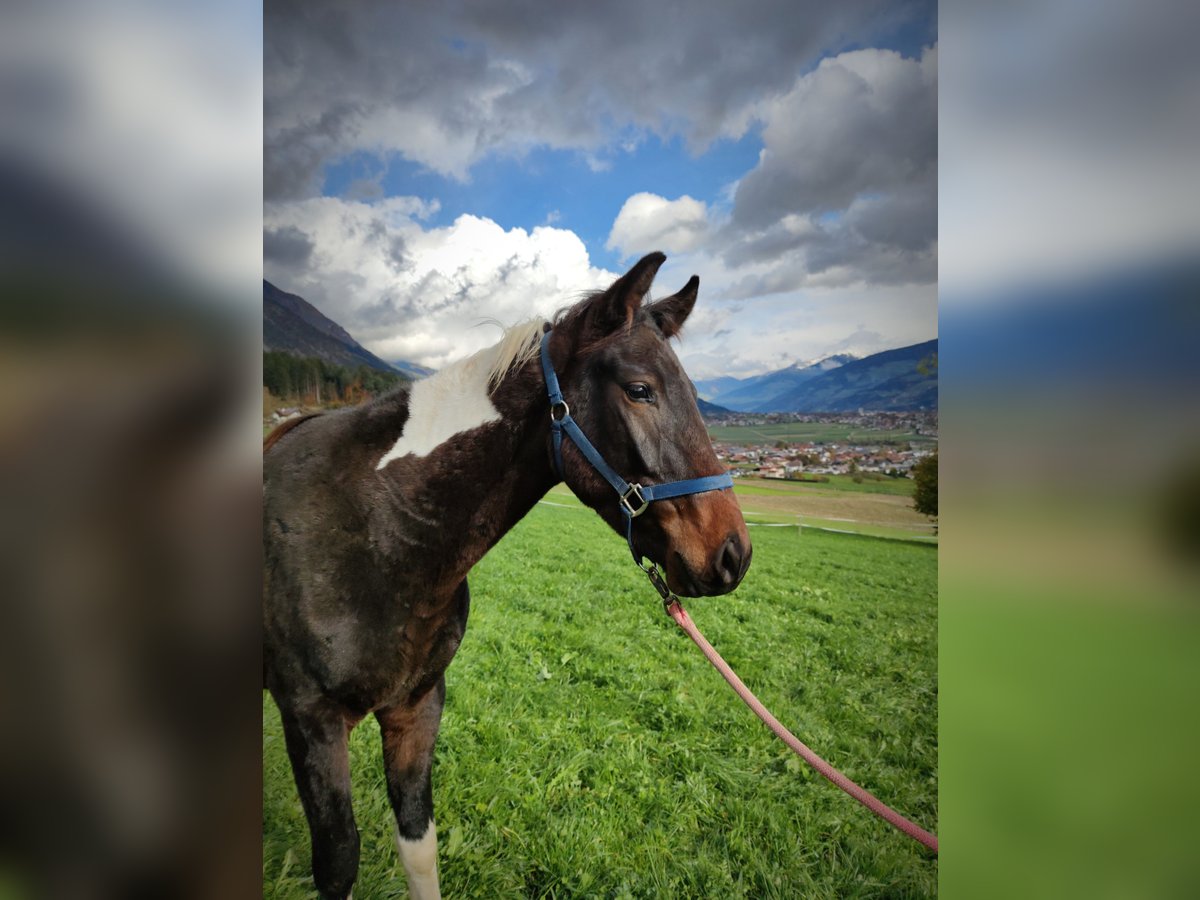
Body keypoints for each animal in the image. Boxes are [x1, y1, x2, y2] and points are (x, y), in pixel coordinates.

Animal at [263, 252, 752, 899]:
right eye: (639, 390)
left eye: (696, 394)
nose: (733, 554)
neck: (375, 531)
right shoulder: (311, 719)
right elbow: (339, 860)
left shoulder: (417, 706)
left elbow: (418, 844)